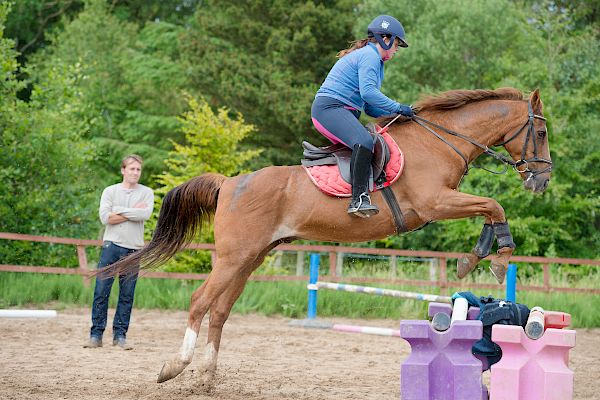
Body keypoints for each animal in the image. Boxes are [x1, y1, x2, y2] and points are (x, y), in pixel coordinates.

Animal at [109, 86, 552, 384]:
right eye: (543, 134)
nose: (542, 181)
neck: (440, 142)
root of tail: (229, 182)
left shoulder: (444, 202)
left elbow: (490, 208)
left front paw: (475, 257)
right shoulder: (435, 202)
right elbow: (494, 205)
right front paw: (494, 258)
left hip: (250, 259)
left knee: (220, 311)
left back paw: (207, 374)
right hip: (234, 257)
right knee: (201, 302)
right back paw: (176, 366)